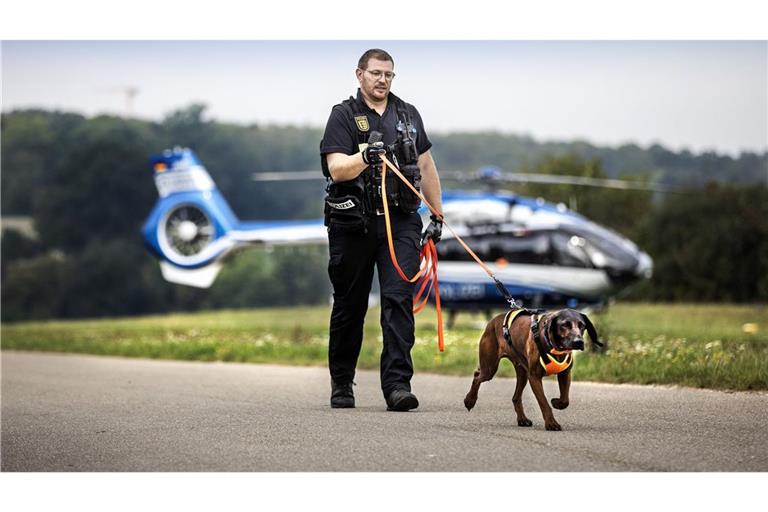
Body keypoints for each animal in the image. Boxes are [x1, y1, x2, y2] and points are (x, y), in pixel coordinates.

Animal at [462, 308, 600, 432]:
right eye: (564, 325)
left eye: (582, 326)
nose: (578, 341)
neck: (554, 346)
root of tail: (492, 321)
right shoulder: (534, 377)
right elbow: (544, 403)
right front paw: (551, 423)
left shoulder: (565, 373)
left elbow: (565, 400)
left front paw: (556, 403)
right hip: (490, 368)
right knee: (477, 375)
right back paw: (469, 400)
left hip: (522, 373)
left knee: (515, 397)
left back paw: (522, 419)